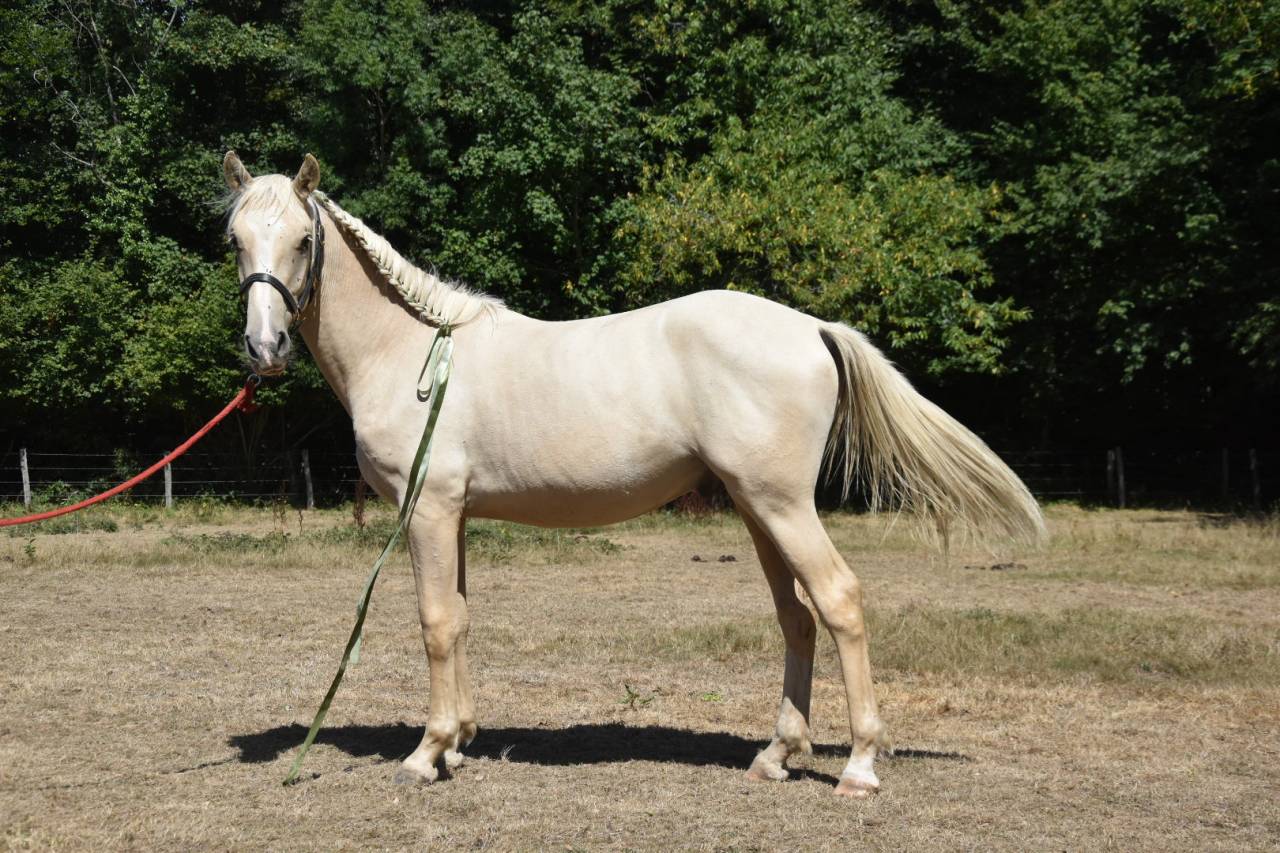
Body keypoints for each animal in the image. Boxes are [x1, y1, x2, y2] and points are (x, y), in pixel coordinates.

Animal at [222, 151, 1044, 798]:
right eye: (235, 239)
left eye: (303, 239)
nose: (265, 349)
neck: (413, 348)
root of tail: (812, 326)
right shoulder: (453, 518)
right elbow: (458, 618)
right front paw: (458, 742)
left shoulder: (426, 511)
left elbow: (433, 623)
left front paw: (426, 754)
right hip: (759, 509)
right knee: (798, 617)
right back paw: (776, 755)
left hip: (782, 505)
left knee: (839, 600)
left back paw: (861, 766)